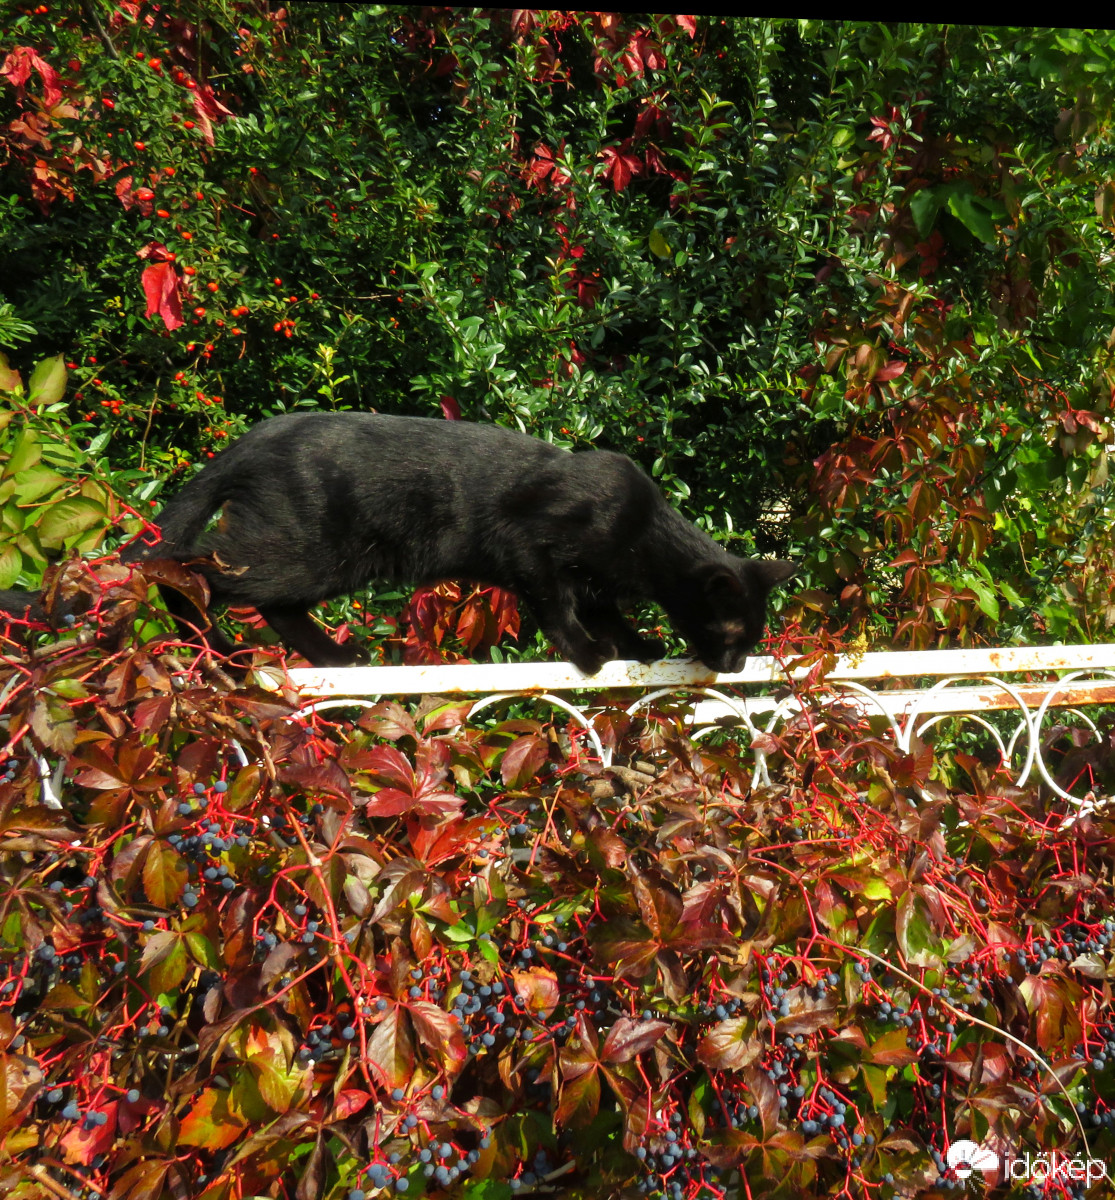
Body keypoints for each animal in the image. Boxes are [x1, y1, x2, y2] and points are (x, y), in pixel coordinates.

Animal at [10, 412, 792, 676]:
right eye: (731, 632)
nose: (733, 664)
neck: (639, 529)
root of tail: (254, 438)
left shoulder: (592, 576)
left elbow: (605, 608)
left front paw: (639, 646)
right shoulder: (530, 550)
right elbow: (559, 608)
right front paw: (590, 655)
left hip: (332, 563)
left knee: (277, 608)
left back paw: (336, 658)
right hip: (299, 549)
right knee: (186, 570)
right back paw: (219, 649)